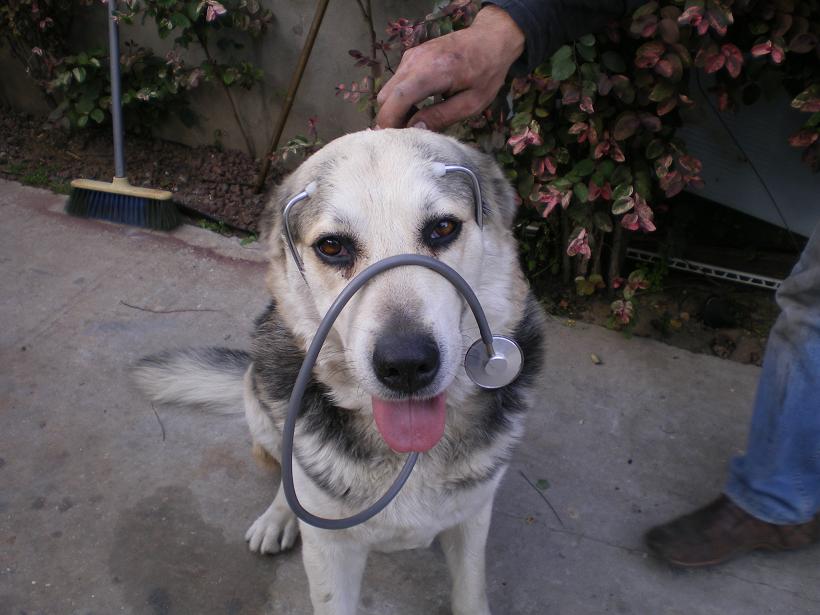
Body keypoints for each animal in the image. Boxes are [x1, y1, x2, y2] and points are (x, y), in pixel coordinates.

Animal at [134, 128, 546, 615]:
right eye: (333, 246)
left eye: (443, 228)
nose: (406, 364)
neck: (408, 457)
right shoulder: (331, 551)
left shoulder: (473, 520)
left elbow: (470, 594)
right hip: (258, 399)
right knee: (287, 475)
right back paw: (278, 517)